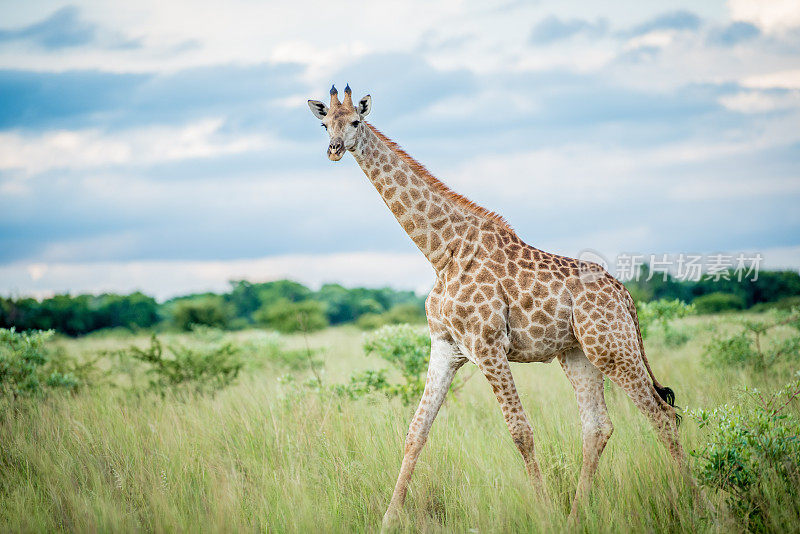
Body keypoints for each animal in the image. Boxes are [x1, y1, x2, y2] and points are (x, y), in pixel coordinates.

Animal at [310, 86, 684, 528]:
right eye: (324, 124)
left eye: (355, 122)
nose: (334, 149)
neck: (442, 252)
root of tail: (626, 296)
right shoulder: (446, 347)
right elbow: (416, 430)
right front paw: (387, 520)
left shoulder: (489, 347)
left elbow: (520, 432)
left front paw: (543, 513)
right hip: (579, 354)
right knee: (598, 427)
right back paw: (576, 517)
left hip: (613, 348)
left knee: (662, 416)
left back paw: (699, 505)